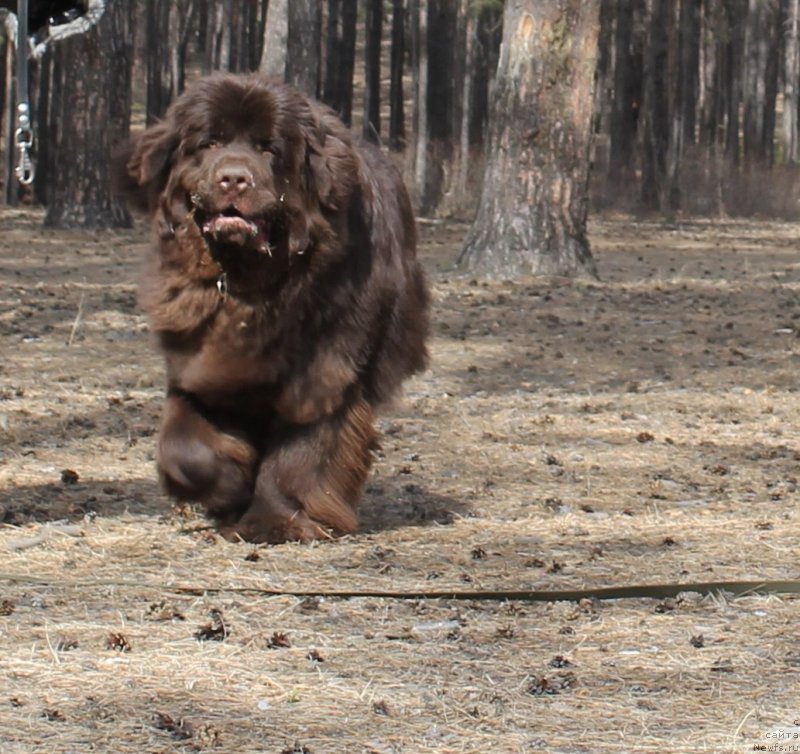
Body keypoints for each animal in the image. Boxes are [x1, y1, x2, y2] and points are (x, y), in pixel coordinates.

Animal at [115, 75, 428, 540]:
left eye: (269, 149)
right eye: (210, 142)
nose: (233, 178)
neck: (249, 286)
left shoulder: (323, 370)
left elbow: (302, 451)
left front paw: (273, 520)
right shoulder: (202, 362)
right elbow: (184, 443)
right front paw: (226, 488)